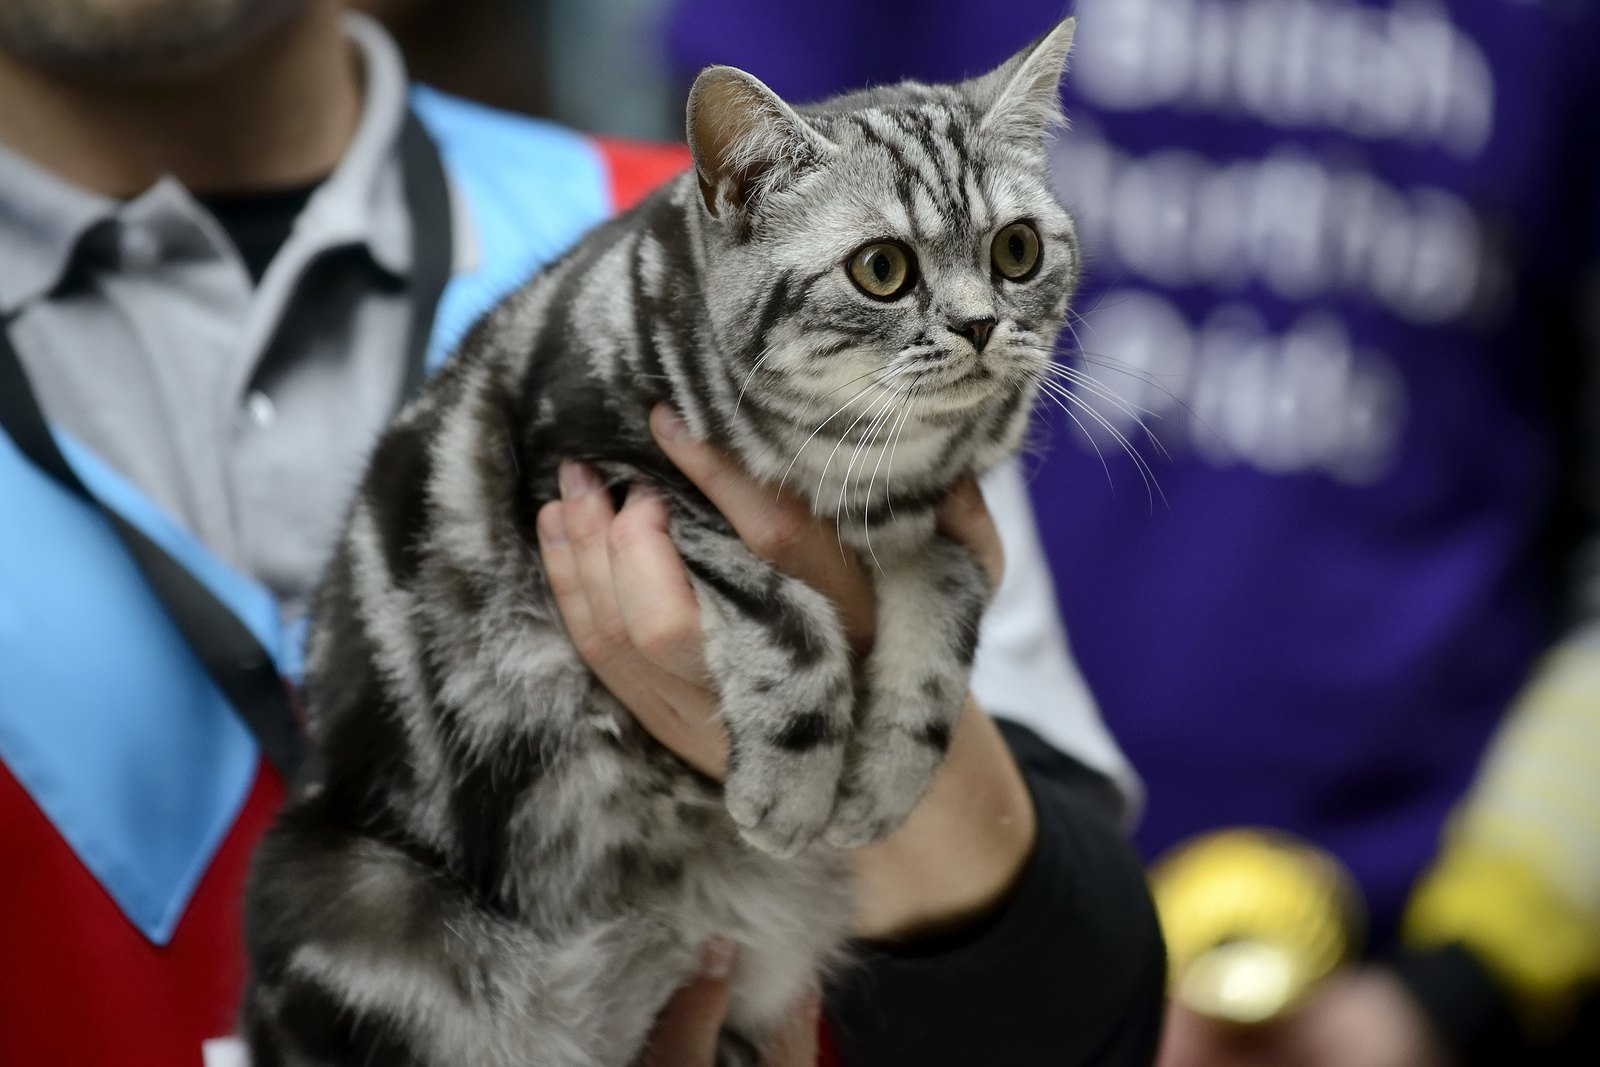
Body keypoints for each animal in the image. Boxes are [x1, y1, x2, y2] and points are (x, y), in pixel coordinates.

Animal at [243, 18, 1081, 1067]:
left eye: (1018, 249)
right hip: (351, 894)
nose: (979, 325)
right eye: (882, 269)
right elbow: (789, 620)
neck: (863, 476)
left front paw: (886, 783)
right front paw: (792, 791)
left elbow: (947, 617)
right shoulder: (593, 472)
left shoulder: (947, 524)